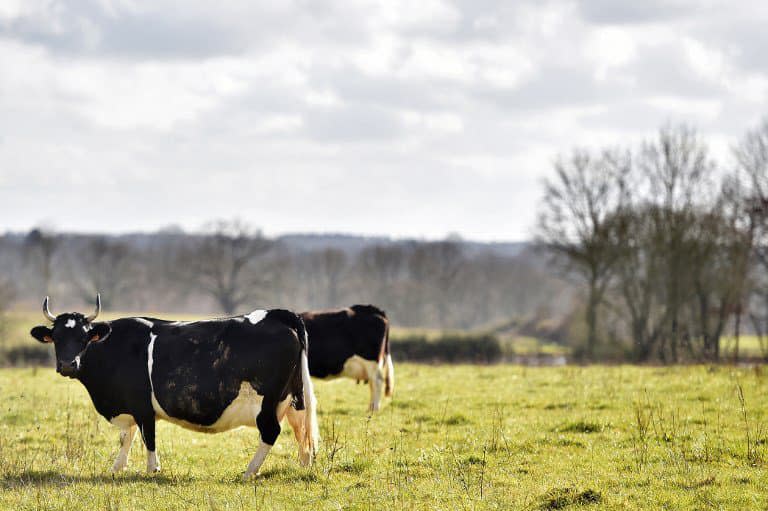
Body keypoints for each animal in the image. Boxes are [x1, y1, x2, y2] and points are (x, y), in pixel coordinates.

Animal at [30, 296, 318, 480]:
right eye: (56, 338)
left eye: (84, 338)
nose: (68, 365)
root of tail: (276, 314)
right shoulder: (127, 406)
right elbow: (127, 436)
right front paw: (117, 468)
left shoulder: (143, 407)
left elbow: (147, 437)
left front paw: (152, 470)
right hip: (294, 397)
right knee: (300, 430)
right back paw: (303, 466)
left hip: (266, 401)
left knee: (271, 432)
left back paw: (249, 472)